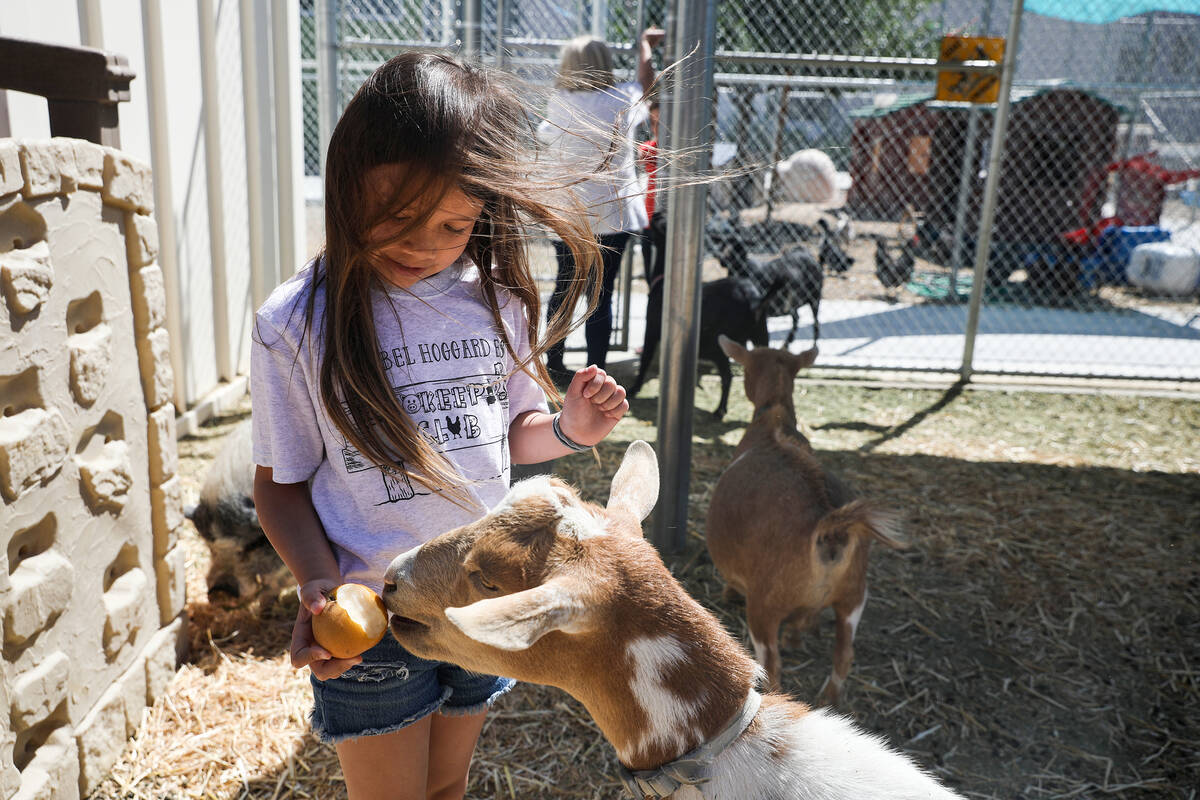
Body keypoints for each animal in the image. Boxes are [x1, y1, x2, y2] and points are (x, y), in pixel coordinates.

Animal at [700, 335, 902, 705]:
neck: (773, 418)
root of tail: (829, 524)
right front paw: (796, 636)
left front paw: (728, 593)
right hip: (854, 595)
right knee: (844, 654)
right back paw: (829, 700)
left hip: (763, 607)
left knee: (772, 665)